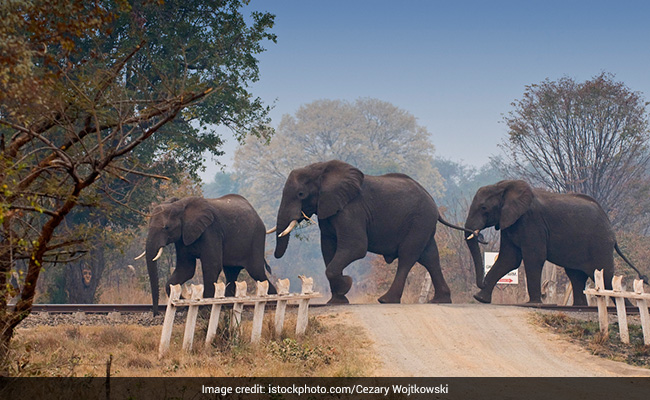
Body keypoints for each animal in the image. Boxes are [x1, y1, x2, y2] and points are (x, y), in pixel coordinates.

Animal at [138, 195, 276, 314]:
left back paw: (272, 304)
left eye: (166, 227)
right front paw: (183, 302)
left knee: (257, 272)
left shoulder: (211, 231)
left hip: (256, 239)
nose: (155, 314)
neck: (180, 205)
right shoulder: (182, 238)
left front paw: (205, 308)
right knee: (231, 273)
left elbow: (211, 266)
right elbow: (185, 269)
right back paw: (227, 305)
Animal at [270, 159, 471, 304]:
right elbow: (328, 249)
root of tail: (434, 203)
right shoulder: (328, 210)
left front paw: (346, 284)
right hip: (424, 224)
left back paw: (386, 300)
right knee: (430, 257)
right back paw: (440, 300)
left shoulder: (351, 209)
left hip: (420, 221)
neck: (320, 169)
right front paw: (337, 300)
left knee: (408, 256)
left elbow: (356, 247)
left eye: (301, 194)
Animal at [464, 180, 646, 305]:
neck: (504, 185)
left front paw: (533, 303)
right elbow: (508, 259)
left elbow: (533, 258)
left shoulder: (532, 222)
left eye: (484, 208)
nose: (481, 237)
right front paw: (480, 299)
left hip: (600, 243)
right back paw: (578, 306)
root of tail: (611, 230)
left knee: (605, 276)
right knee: (576, 275)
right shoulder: (510, 223)